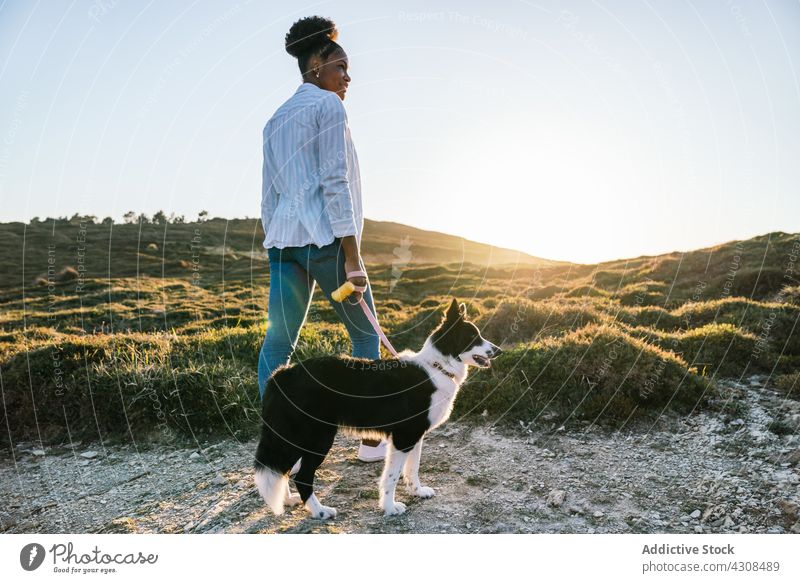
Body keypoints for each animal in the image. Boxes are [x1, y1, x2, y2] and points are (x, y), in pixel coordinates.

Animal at [253, 298, 500, 516]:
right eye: (473, 337)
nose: (498, 350)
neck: (437, 367)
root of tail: (281, 374)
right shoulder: (404, 437)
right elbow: (391, 476)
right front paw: (390, 508)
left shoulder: (415, 436)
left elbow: (413, 469)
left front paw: (418, 492)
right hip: (318, 437)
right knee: (302, 476)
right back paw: (319, 511)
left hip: (293, 438)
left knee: (282, 468)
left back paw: (288, 500)